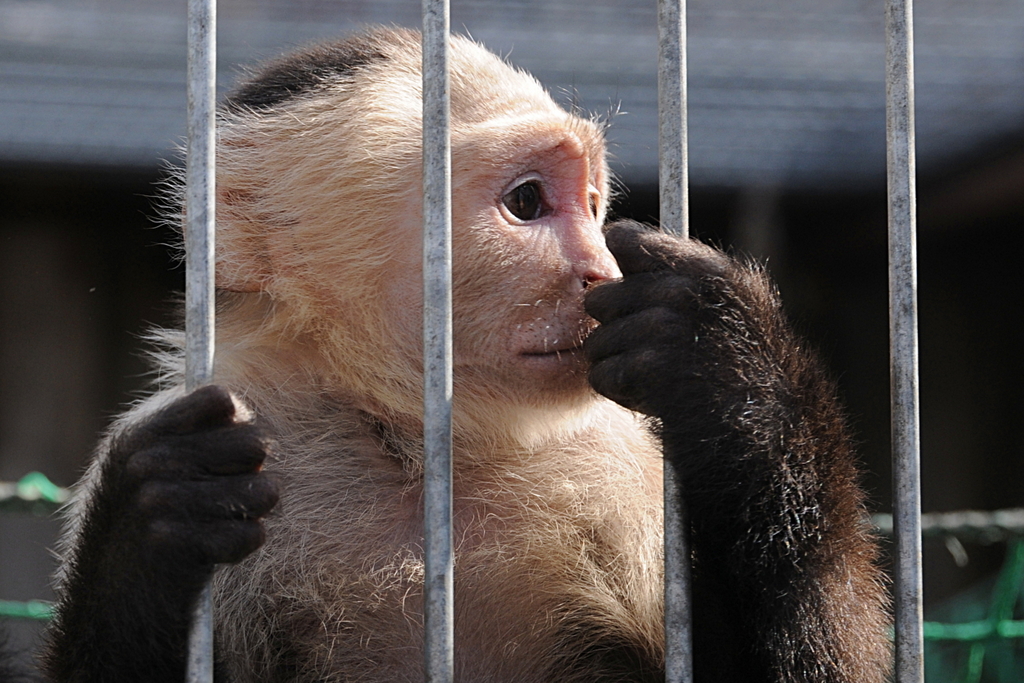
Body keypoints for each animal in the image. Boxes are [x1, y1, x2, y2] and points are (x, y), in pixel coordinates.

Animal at [39, 26, 888, 683]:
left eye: (592, 205)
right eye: (527, 202)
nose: (599, 273)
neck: (416, 444)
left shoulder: (611, 472)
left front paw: (732, 365)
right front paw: (146, 532)